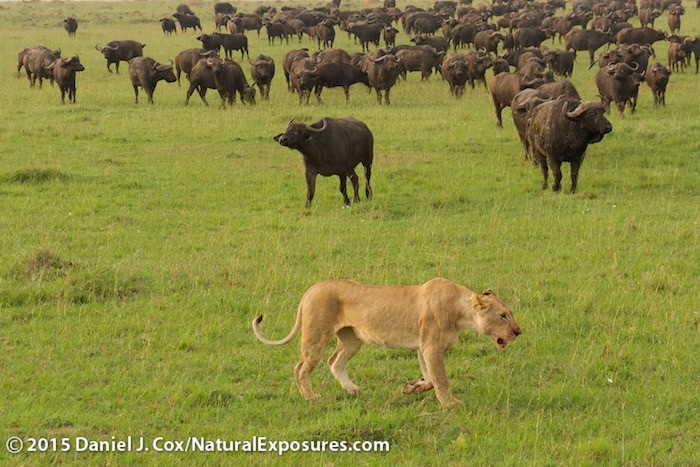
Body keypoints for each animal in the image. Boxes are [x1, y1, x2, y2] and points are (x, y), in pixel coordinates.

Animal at [252, 277, 521, 408]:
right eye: (503, 315)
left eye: (510, 313)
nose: (518, 332)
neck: (461, 311)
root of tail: (310, 289)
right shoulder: (431, 347)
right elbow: (441, 379)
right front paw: (451, 404)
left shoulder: (423, 348)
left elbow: (430, 379)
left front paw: (411, 388)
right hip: (316, 336)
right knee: (301, 368)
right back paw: (310, 397)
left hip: (353, 338)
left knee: (334, 361)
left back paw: (352, 390)